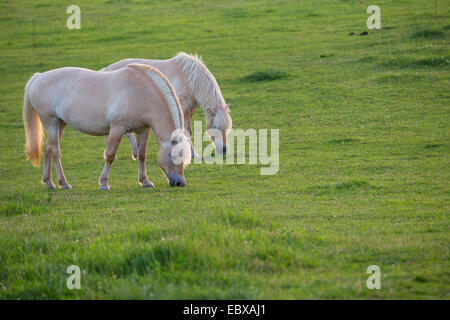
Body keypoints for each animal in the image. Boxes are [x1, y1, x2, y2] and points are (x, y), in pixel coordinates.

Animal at [23, 63, 192, 191]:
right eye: (172, 156)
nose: (180, 182)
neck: (140, 93)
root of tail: (38, 77)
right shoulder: (117, 129)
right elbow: (110, 155)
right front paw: (104, 184)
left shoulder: (143, 130)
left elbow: (141, 155)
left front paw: (145, 181)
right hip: (50, 123)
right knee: (55, 152)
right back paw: (63, 183)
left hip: (60, 124)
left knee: (48, 149)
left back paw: (49, 182)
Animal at [101, 52, 232, 160]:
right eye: (215, 126)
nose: (224, 150)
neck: (188, 78)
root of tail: (106, 70)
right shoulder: (184, 108)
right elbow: (187, 130)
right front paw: (193, 154)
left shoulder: (190, 109)